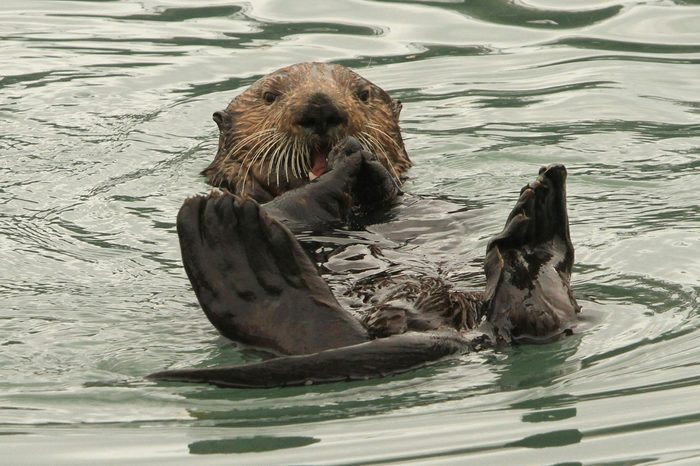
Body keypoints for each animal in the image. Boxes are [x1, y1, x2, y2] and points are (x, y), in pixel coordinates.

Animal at [148, 63, 581, 388]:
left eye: (362, 95)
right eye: (270, 97)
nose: (321, 107)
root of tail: (462, 331)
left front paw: (369, 165)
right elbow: (287, 202)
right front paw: (343, 169)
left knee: (537, 317)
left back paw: (535, 236)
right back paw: (235, 238)